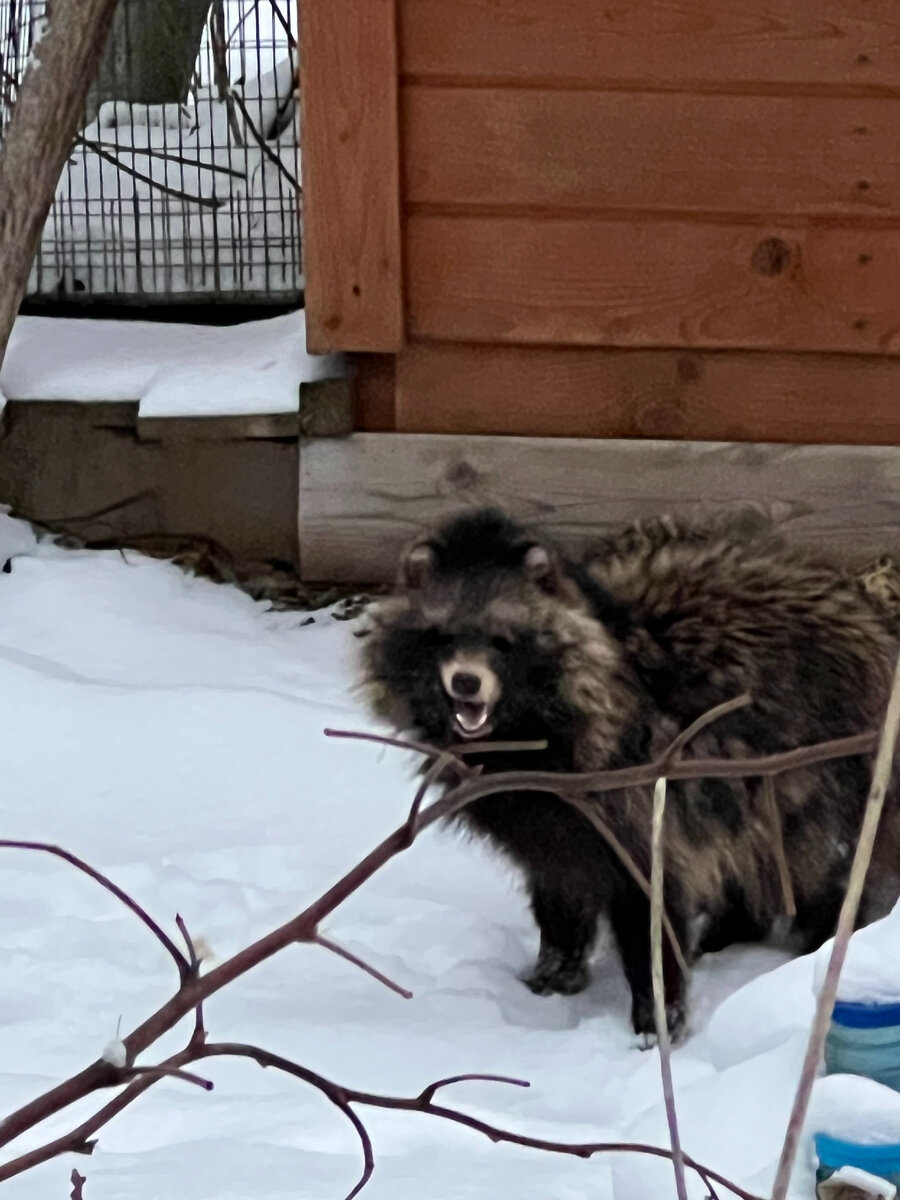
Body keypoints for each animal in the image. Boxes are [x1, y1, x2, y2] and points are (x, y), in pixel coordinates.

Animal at [360, 506, 900, 1041]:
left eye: (503, 640)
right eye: (443, 636)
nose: (466, 683)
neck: (518, 732)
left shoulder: (638, 789)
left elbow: (651, 902)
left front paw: (658, 1014)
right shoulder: (545, 816)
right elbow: (559, 882)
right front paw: (555, 971)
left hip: (827, 766)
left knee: (816, 854)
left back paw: (823, 934)